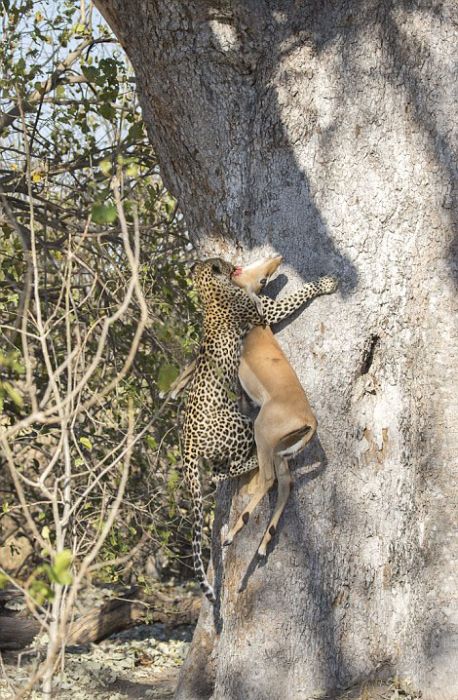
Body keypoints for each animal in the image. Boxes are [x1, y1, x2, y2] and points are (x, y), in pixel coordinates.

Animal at [182, 258, 336, 600]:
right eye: (263, 274)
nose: (278, 260)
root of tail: (312, 419)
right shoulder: (268, 312)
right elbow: (295, 297)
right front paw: (327, 283)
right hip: (262, 435)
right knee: (267, 479)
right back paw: (236, 533)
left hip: (275, 446)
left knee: (282, 483)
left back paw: (261, 542)